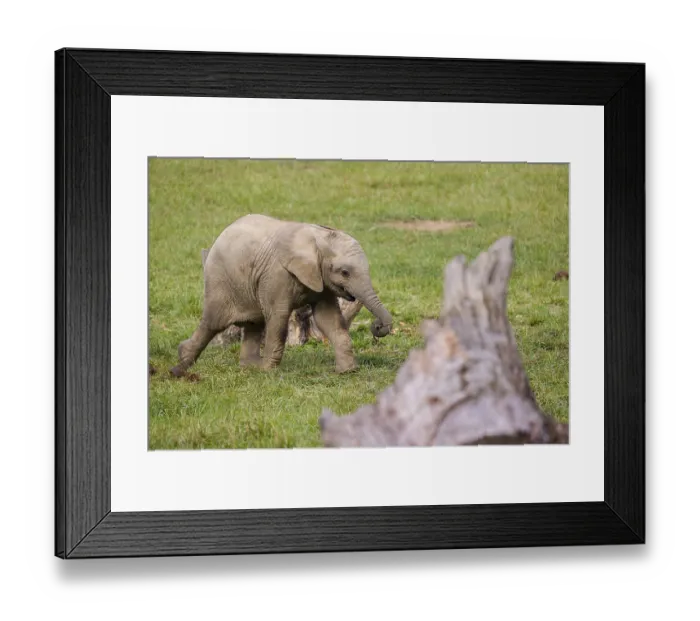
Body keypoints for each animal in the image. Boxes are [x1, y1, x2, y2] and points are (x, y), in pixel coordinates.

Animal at [169, 214, 393, 377]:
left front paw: (347, 371)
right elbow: (278, 318)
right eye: (345, 272)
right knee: (214, 322)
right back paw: (180, 365)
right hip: (220, 281)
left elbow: (328, 319)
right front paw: (269, 372)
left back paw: (251, 367)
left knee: (254, 323)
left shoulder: (320, 279)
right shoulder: (276, 274)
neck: (317, 238)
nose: (377, 327)